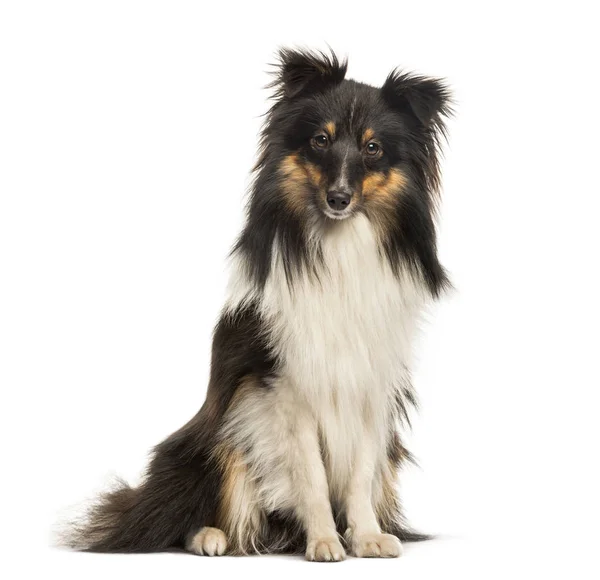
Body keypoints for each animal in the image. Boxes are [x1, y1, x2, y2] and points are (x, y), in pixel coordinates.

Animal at [64, 47, 450, 560]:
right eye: (320, 140)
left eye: (373, 148)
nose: (339, 198)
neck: (340, 242)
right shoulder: (283, 387)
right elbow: (310, 474)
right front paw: (324, 541)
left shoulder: (369, 385)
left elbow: (359, 473)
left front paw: (365, 537)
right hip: (217, 438)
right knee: (196, 509)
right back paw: (212, 537)